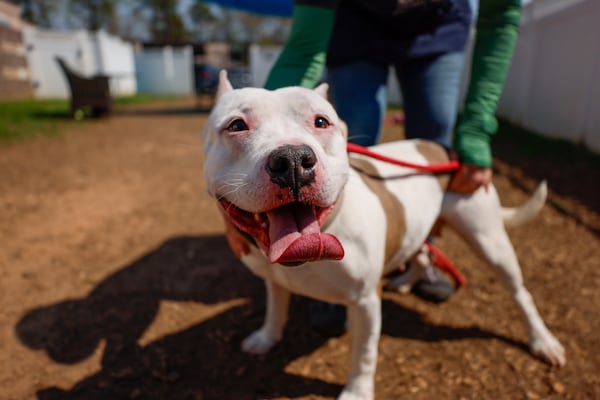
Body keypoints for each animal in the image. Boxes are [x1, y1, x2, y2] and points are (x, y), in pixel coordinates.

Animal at [203, 72, 568, 400]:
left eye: (321, 121)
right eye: (236, 125)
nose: (293, 160)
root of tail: (444, 150)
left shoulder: (366, 301)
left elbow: (364, 355)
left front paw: (357, 392)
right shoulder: (274, 279)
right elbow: (275, 307)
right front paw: (266, 337)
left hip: (489, 240)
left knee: (521, 293)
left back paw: (543, 341)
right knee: (421, 251)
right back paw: (407, 280)